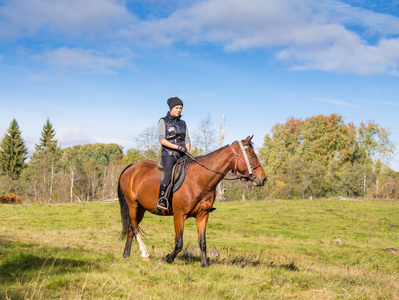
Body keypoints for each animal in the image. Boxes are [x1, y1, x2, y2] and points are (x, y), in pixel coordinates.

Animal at [119, 136, 268, 268]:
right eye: (252, 155)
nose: (263, 179)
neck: (198, 180)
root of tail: (131, 167)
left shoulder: (202, 215)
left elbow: (202, 241)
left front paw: (204, 264)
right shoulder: (179, 215)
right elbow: (179, 243)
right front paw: (167, 258)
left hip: (141, 208)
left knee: (132, 227)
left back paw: (126, 254)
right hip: (133, 204)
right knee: (134, 227)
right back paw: (144, 253)